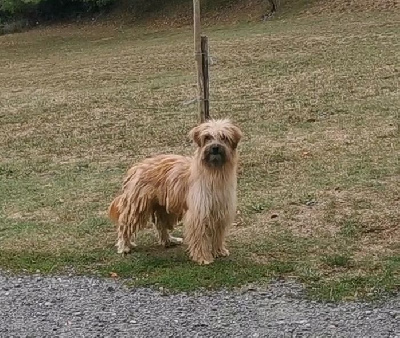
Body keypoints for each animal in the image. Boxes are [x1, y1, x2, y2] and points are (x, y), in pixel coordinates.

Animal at [108, 119, 242, 264]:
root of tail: (136, 167)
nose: (215, 147)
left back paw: (169, 240)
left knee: (160, 224)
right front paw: (203, 258)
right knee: (125, 225)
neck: (214, 173)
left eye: (224, 137)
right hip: (137, 206)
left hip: (164, 207)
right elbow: (200, 237)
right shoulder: (199, 214)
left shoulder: (220, 211)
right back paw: (124, 246)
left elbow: (218, 234)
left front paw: (219, 251)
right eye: (207, 137)